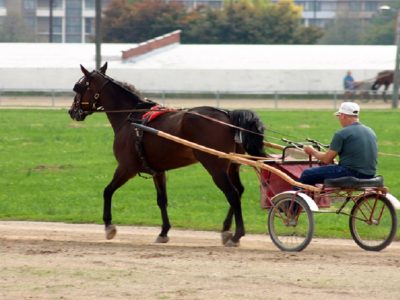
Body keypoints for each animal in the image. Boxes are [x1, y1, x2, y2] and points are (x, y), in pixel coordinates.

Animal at [69, 62, 266, 246]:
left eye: (79, 87)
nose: (72, 111)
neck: (131, 118)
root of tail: (228, 116)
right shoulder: (158, 171)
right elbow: (162, 200)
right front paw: (163, 232)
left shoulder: (126, 167)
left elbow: (107, 191)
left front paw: (109, 226)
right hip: (232, 165)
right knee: (239, 190)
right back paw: (226, 229)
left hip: (215, 166)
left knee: (232, 194)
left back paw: (236, 234)